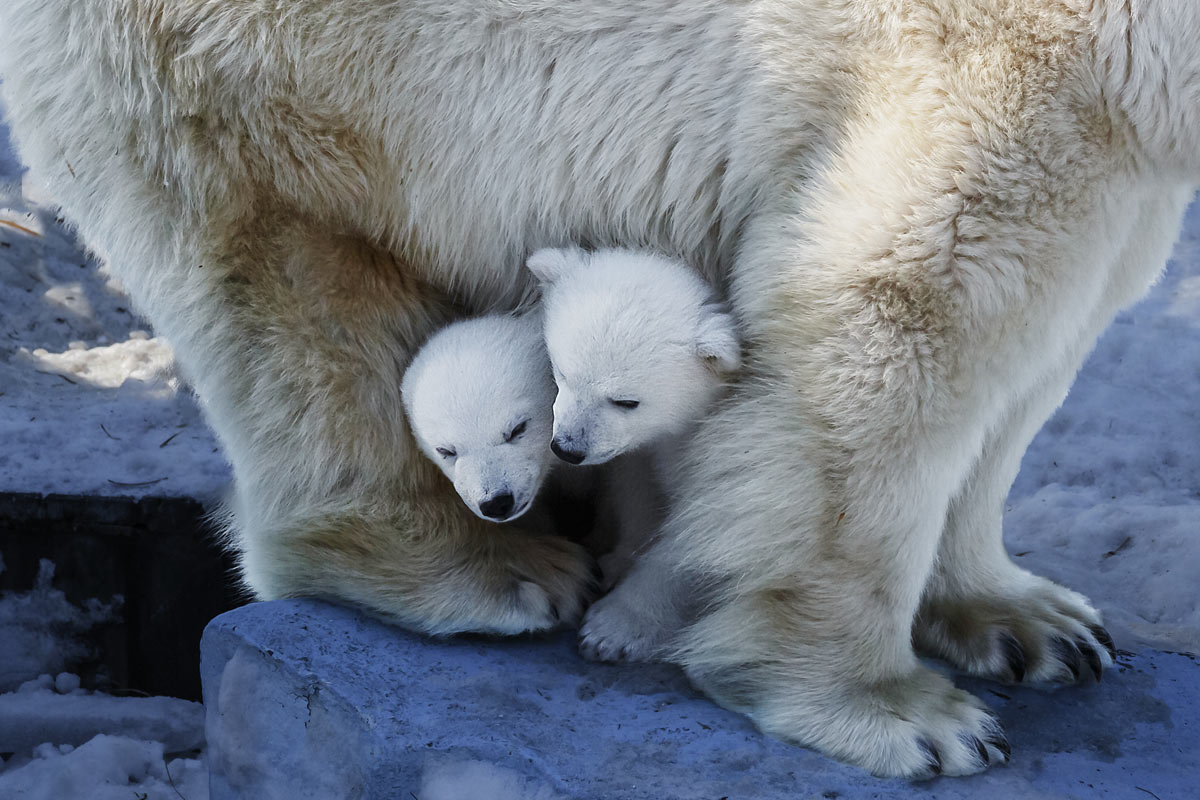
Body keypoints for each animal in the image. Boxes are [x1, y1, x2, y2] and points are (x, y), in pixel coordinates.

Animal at [2, 0, 1200, 777]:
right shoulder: (984, 63)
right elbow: (887, 320)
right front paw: (903, 715)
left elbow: (1045, 338)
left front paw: (1032, 623)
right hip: (261, 74)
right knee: (292, 282)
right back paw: (497, 568)